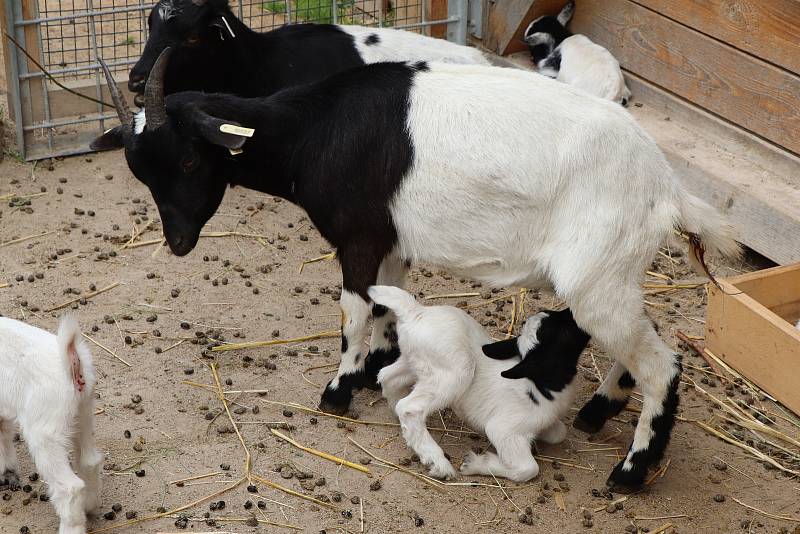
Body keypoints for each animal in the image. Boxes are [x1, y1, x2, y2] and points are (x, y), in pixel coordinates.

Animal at [92, 51, 736, 494]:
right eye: (138, 169)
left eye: (187, 159)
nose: (178, 243)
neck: (313, 131)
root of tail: (666, 188)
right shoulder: (392, 241)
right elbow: (388, 303)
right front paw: (377, 367)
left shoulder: (359, 236)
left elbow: (354, 310)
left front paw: (337, 392)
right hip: (613, 274)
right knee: (641, 343)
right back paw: (598, 414)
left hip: (596, 278)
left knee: (662, 364)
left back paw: (630, 471)